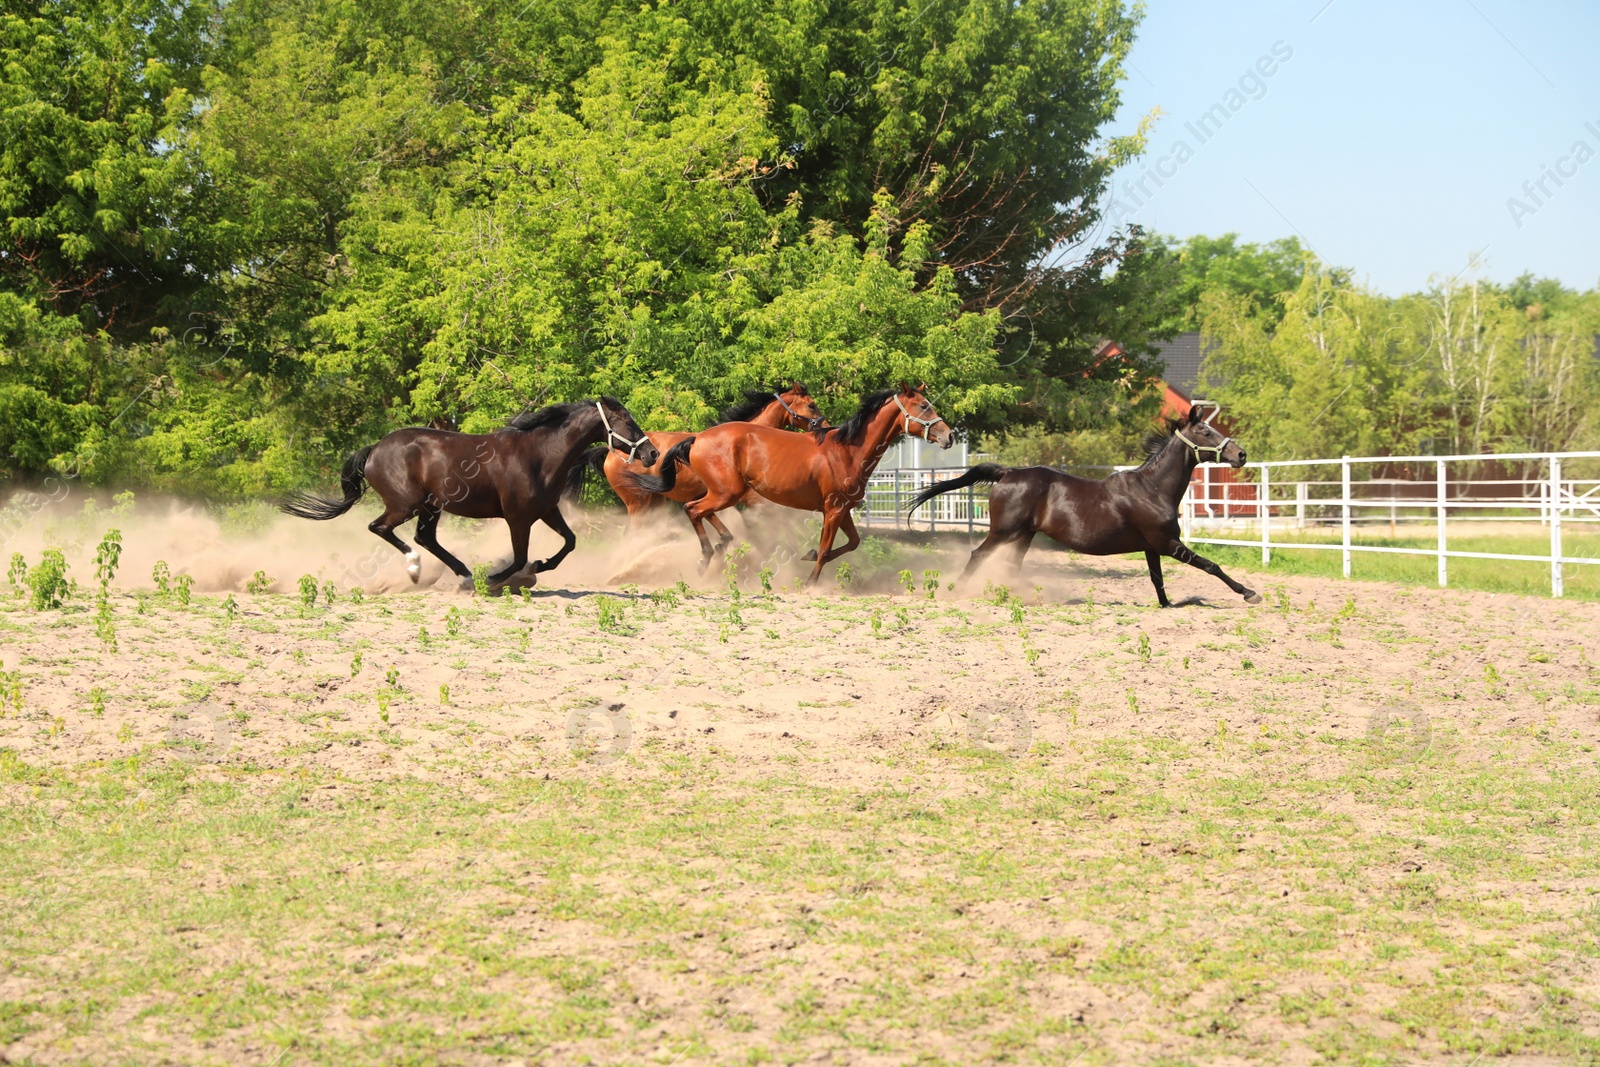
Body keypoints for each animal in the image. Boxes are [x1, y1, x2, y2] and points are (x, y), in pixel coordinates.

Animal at [284, 396, 659, 588]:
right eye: (627, 421)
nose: (652, 453)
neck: (539, 455)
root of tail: (375, 448)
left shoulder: (547, 511)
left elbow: (569, 542)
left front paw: (540, 566)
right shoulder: (517, 518)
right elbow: (519, 557)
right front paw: (498, 577)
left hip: (431, 507)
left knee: (424, 537)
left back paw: (462, 575)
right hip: (406, 504)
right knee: (383, 529)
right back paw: (417, 570)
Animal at [576, 383, 825, 543]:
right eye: (812, 405)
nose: (823, 425)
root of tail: (609, 452)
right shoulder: (754, 500)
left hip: (654, 502)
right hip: (637, 503)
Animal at [656, 385, 953, 585]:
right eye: (924, 406)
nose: (949, 436)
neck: (847, 450)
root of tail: (697, 438)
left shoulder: (842, 510)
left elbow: (851, 543)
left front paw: (807, 555)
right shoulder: (832, 510)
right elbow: (825, 549)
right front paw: (811, 583)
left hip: (723, 494)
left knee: (696, 511)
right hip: (726, 493)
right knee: (693, 509)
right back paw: (705, 558)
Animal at [902, 404, 1260, 604]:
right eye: (1206, 431)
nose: (1241, 454)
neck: (1153, 489)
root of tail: (1008, 472)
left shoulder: (1152, 547)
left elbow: (1157, 582)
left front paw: (1167, 606)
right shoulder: (1167, 543)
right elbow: (1210, 565)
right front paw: (1249, 593)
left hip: (1024, 535)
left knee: (1011, 566)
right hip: (1004, 531)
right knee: (978, 555)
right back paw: (956, 592)